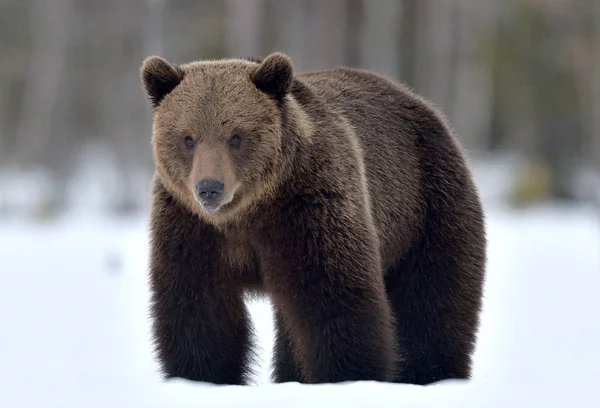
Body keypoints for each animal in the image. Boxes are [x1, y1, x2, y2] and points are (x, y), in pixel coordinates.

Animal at [141, 51, 488, 386]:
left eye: (236, 136)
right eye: (188, 138)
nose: (209, 188)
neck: (247, 212)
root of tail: (418, 101)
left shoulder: (309, 207)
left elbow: (331, 295)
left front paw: (347, 375)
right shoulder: (190, 226)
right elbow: (199, 309)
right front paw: (202, 377)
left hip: (425, 205)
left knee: (433, 300)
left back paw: (430, 373)